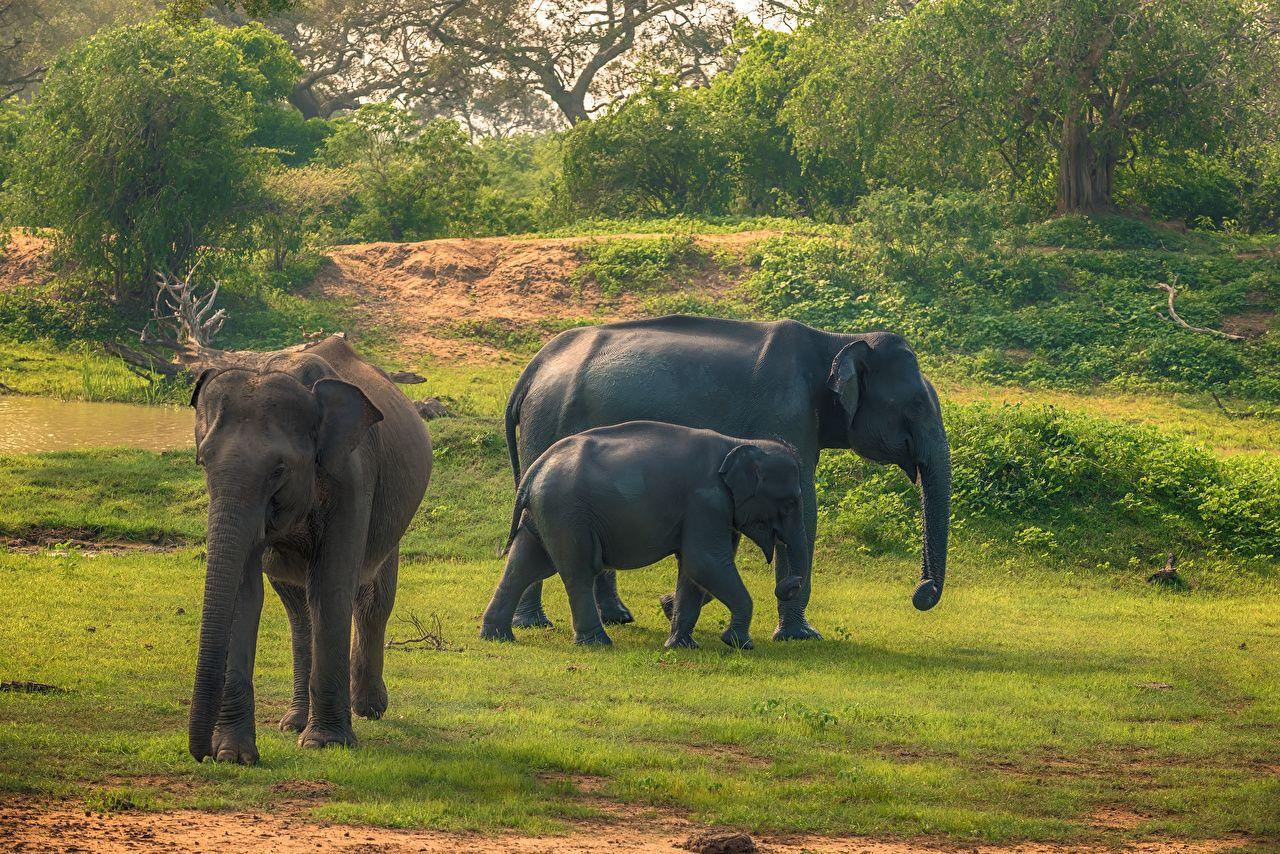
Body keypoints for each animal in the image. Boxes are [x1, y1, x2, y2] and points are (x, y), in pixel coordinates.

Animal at [186, 335, 431, 764]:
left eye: (278, 470)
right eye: (203, 462)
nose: (201, 754)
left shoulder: (354, 474)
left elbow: (331, 586)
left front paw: (325, 743)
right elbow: (245, 594)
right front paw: (234, 755)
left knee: (372, 598)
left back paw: (368, 708)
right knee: (298, 608)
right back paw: (295, 721)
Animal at [481, 421, 807, 649]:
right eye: (790, 502)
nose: (790, 585)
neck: (738, 443)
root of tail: (534, 468)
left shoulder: (714, 511)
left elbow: (693, 571)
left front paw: (682, 646)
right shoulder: (706, 502)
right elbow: (705, 563)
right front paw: (739, 643)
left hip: (546, 512)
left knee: (525, 563)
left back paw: (496, 637)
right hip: (566, 512)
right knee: (577, 571)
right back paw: (598, 643)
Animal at [503, 316, 951, 640]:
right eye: (916, 404)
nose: (922, 594)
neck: (835, 340)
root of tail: (532, 369)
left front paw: (674, 606)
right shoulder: (786, 413)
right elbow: (805, 506)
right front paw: (800, 635)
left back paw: (616, 618)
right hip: (547, 423)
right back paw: (535, 623)